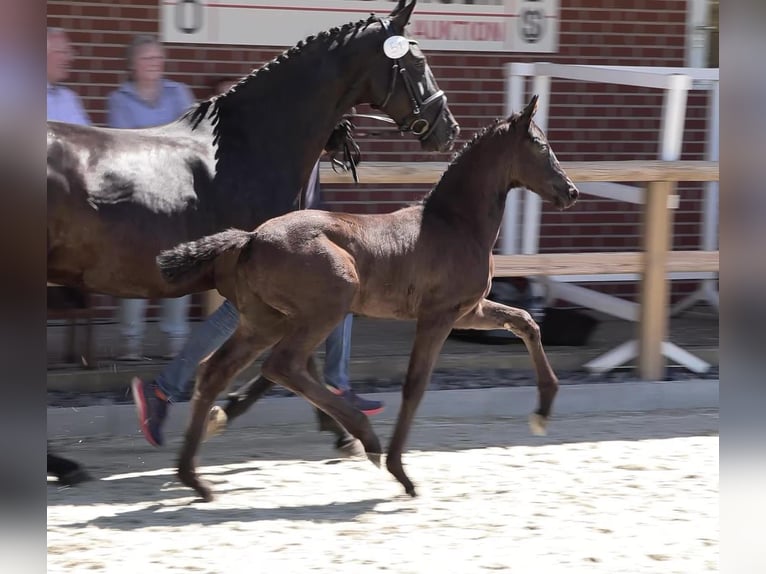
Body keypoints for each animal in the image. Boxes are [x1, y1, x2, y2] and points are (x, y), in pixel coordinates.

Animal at [159, 97, 580, 502]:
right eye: (540, 144)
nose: (570, 191)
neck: (455, 225)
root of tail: (250, 239)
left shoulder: (469, 311)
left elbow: (524, 321)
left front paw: (543, 410)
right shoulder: (438, 316)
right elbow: (415, 385)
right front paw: (400, 472)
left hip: (264, 320)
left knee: (216, 370)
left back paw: (194, 478)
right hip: (327, 305)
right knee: (282, 365)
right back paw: (367, 439)